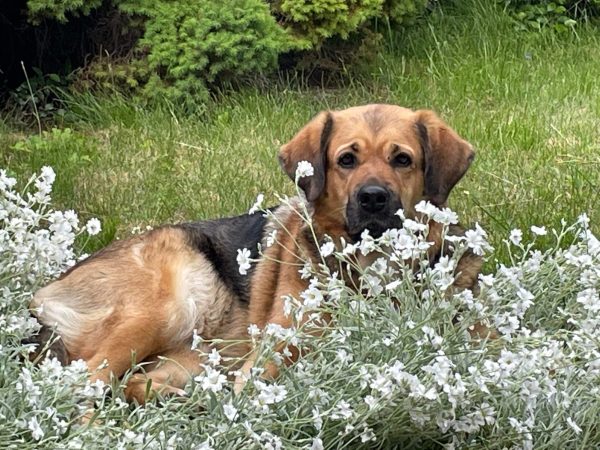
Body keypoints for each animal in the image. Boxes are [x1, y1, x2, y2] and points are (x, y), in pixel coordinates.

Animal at [28, 103, 480, 404]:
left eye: (402, 159)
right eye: (346, 160)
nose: (373, 198)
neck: (369, 266)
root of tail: (40, 297)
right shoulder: (276, 346)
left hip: (199, 352)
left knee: (135, 383)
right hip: (168, 307)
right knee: (85, 381)